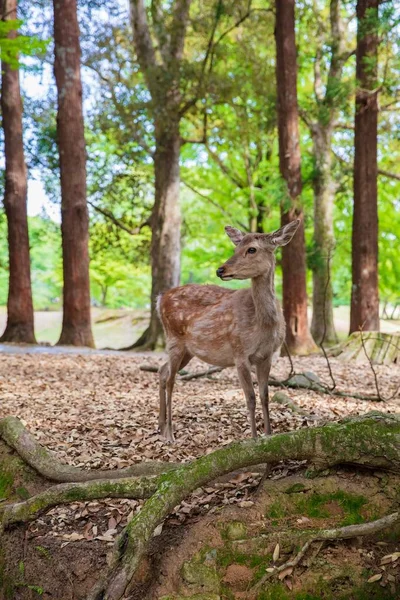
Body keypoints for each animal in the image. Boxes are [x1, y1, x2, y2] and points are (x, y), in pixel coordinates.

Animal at [156, 219, 300, 440]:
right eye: (235, 248)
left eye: (251, 249)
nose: (220, 270)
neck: (262, 325)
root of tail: (160, 298)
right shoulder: (239, 352)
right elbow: (250, 398)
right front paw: (254, 439)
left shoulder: (266, 356)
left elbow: (265, 396)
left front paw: (268, 435)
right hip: (174, 338)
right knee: (171, 378)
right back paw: (170, 434)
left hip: (188, 350)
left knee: (162, 371)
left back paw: (161, 427)